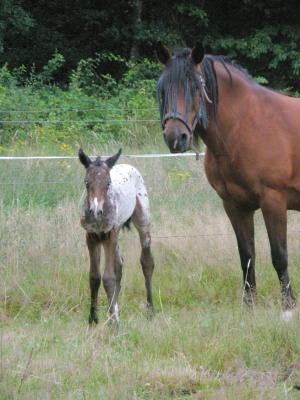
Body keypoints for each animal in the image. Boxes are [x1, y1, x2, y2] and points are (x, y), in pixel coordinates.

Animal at [156, 43, 300, 316]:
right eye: (162, 88)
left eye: (195, 87)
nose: (175, 138)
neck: (245, 126)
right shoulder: (235, 206)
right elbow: (247, 256)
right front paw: (249, 304)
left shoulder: (273, 202)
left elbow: (279, 255)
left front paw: (288, 306)